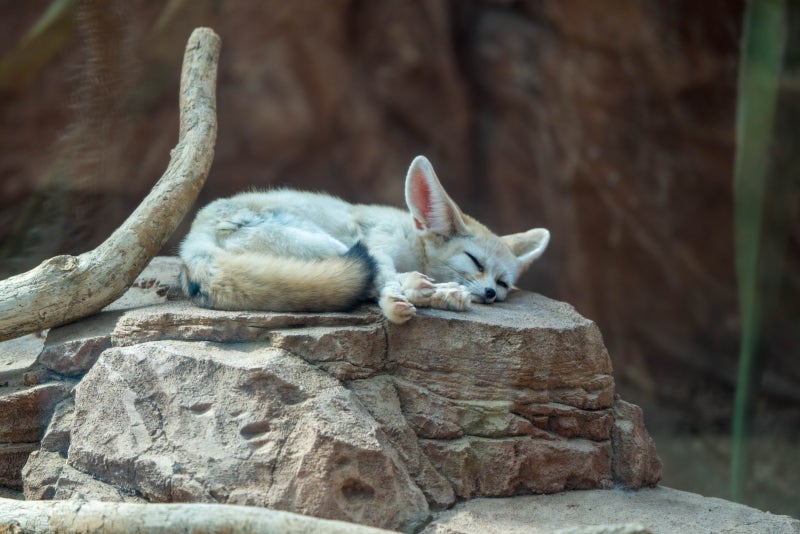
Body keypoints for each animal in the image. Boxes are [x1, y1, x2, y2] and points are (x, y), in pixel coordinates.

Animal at [178, 155, 548, 322]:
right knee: (364, 279)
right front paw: (401, 300)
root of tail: (191, 244)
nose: (490, 293)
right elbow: (386, 276)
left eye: (502, 283)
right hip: (328, 242)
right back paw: (427, 290)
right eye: (474, 261)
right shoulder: (377, 243)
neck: (414, 244)